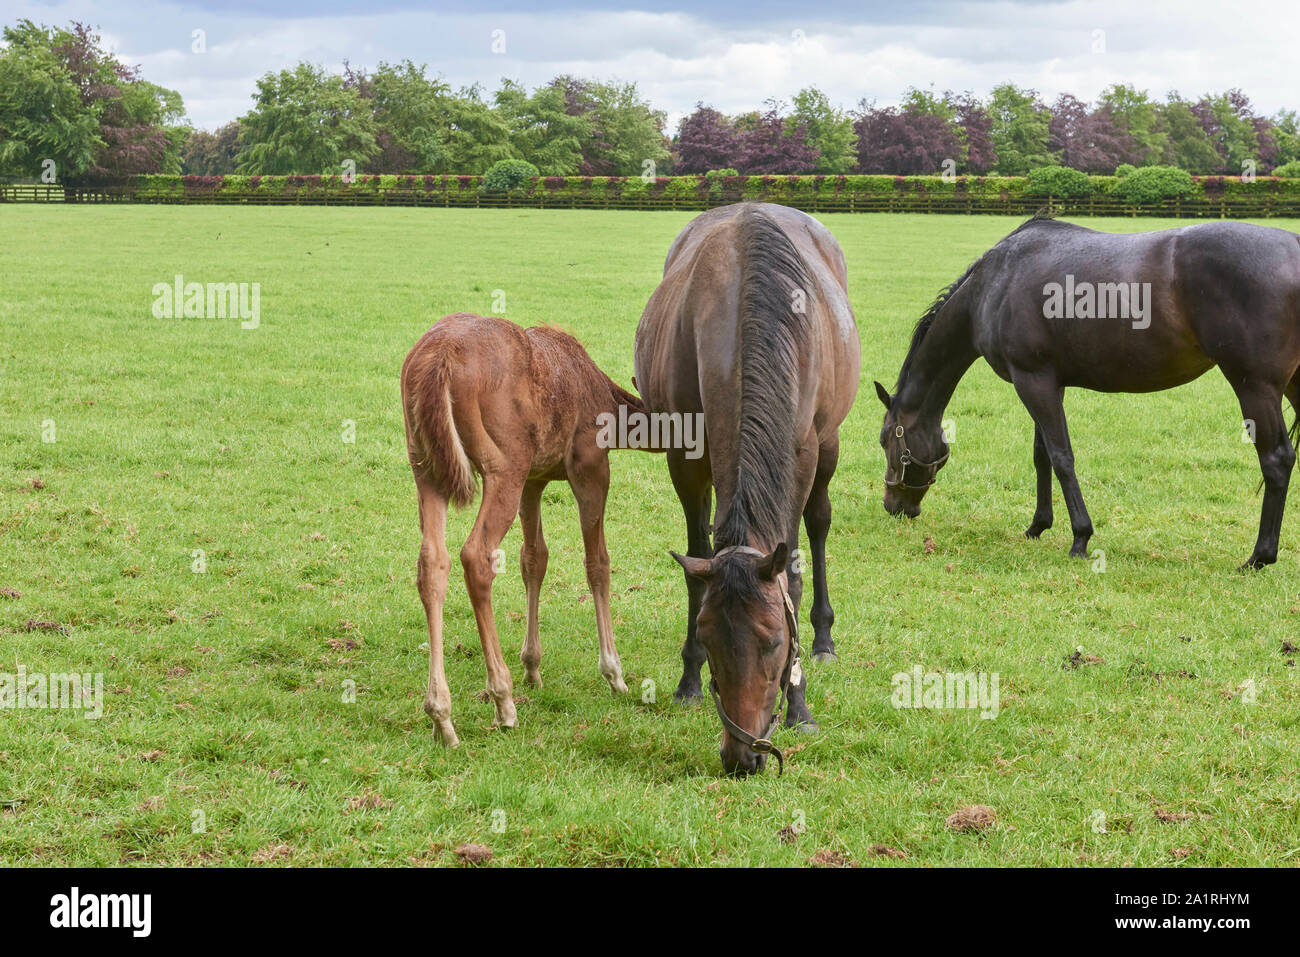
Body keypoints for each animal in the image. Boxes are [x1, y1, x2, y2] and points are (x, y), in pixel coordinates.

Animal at [395, 314, 639, 748]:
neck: (611, 401)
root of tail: (438, 361)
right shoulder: (590, 464)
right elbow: (598, 563)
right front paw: (614, 672)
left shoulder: (535, 478)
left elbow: (534, 559)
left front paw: (533, 666)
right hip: (503, 465)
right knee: (475, 556)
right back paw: (502, 701)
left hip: (426, 464)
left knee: (432, 561)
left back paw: (441, 716)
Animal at [631, 205, 857, 774]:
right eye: (708, 636)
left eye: (776, 641)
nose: (743, 757)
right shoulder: (685, 458)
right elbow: (696, 560)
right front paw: (688, 680)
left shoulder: (802, 452)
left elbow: (792, 572)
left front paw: (800, 707)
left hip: (830, 443)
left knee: (819, 523)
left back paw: (825, 637)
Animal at [873, 218, 1300, 566]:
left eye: (885, 439)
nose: (894, 506)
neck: (995, 282)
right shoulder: (1045, 382)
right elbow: (1042, 456)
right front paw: (1038, 525)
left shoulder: (1033, 381)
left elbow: (1062, 458)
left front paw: (1080, 537)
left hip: (1254, 387)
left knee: (1277, 460)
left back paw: (1259, 557)